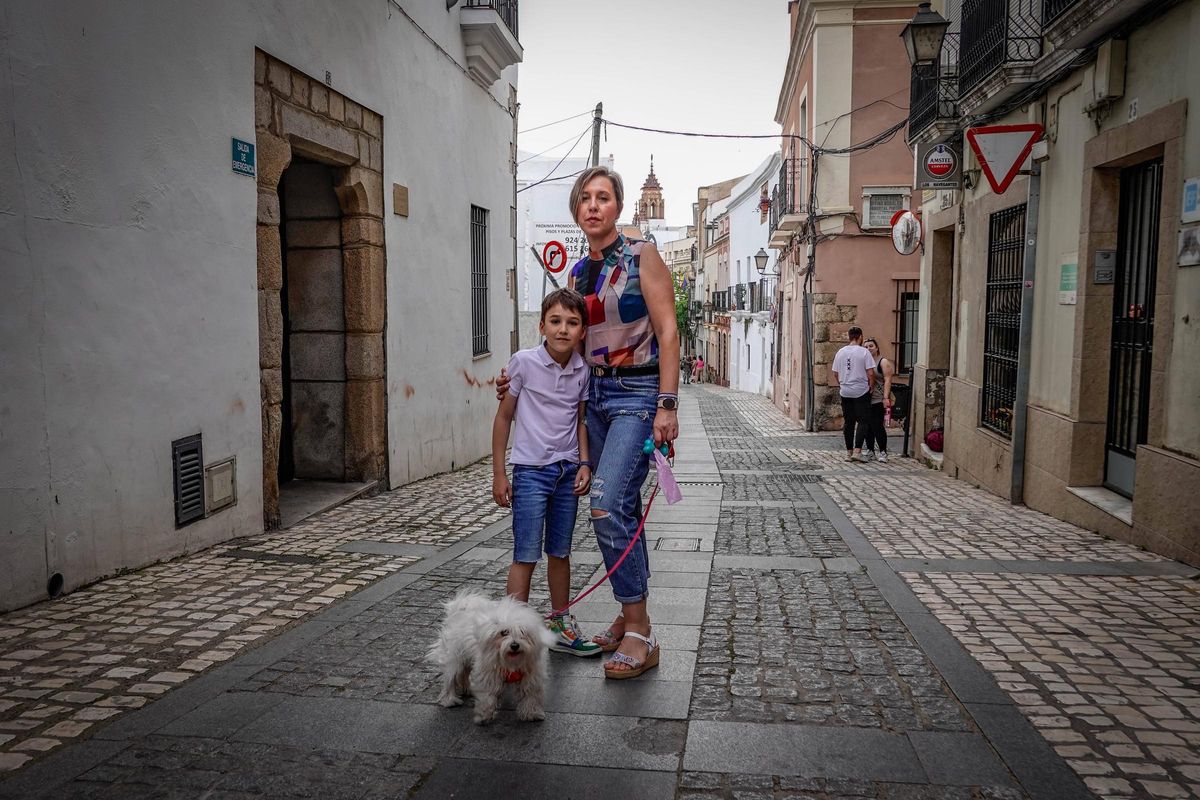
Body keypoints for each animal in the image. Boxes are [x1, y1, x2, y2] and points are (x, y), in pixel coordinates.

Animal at [424, 587, 554, 724]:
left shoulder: (530, 677)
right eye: (504, 632)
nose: (514, 645)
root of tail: (458, 612)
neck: (511, 661)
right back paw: (449, 700)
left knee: (463, 673)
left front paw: (531, 714)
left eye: (523, 632)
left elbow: (530, 695)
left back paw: (467, 689)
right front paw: (483, 715)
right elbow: (487, 696)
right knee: (450, 679)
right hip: (455, 659)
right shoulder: (489, 675)